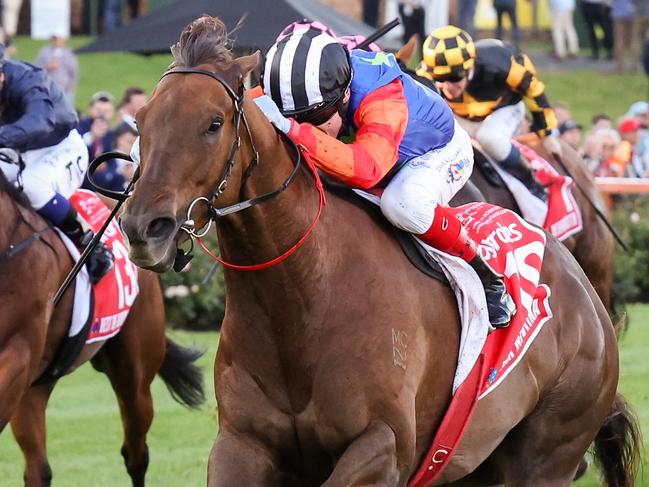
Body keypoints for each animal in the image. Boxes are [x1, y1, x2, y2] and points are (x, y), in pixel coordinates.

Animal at [120, 17, 636, 487]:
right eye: (140, 123)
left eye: (213, 124)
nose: (144, 227)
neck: (303, 297)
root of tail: (585, 297)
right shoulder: (240, 444)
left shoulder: (382, 445)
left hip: (550, 450)